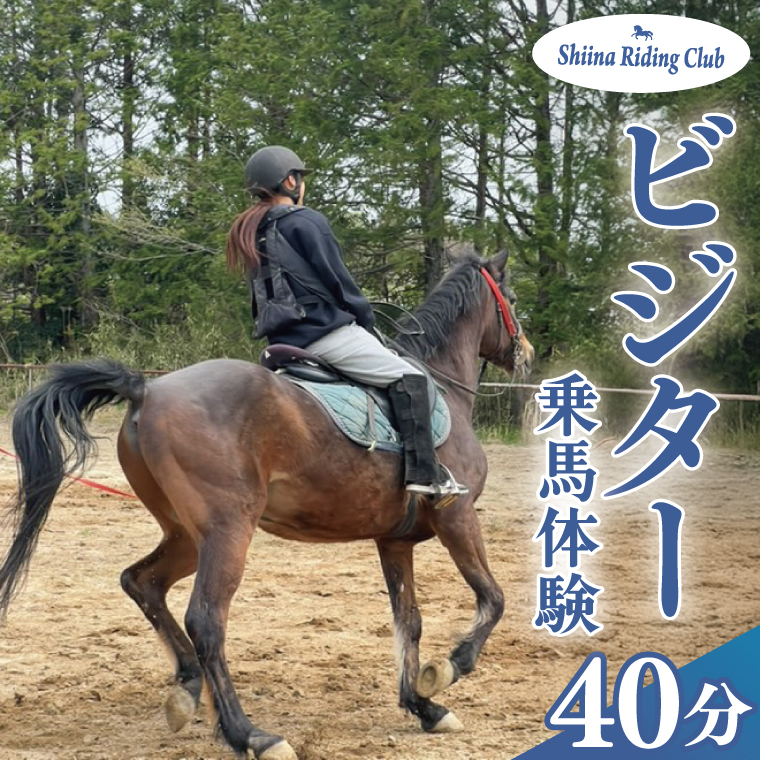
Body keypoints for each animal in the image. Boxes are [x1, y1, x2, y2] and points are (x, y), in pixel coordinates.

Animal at [0, 252, 533, 760]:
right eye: (510, 298)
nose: (526, 354)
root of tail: (147, 388)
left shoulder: (394, 541)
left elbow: (410, 622)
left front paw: (423, 705)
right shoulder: (456, 517)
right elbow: (493, 598)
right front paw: (447, 669)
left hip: (189, 536)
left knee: (143, 582)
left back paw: (187, 689)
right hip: (229, 531)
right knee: (206, 620)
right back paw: (251, 736)